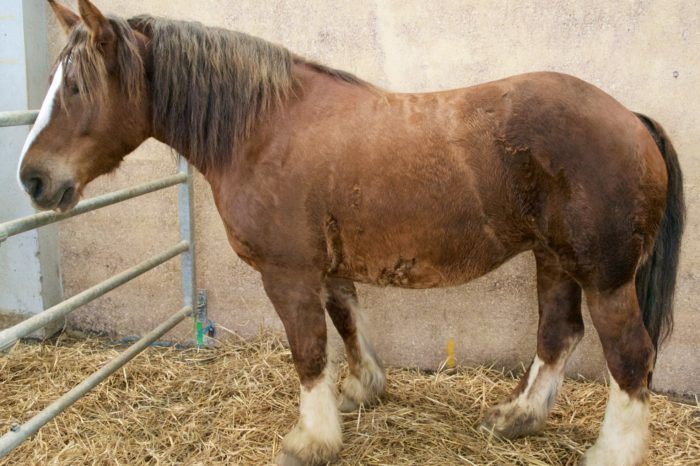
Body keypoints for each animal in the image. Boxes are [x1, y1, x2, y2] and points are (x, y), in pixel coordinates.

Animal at [17, 1, 684, 464]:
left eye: (75, 87)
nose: (32, 179)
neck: (262, 129)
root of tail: (631, 119)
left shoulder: (287, 275)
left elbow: (309, 350)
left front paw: (310, 438)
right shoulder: (330, 268)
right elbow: (347, 324)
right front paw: (362, 390)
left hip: (604, 277)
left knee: (630, 355)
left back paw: (611, 452)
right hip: (555, 260)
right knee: (558, 335)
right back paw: (517, 418)